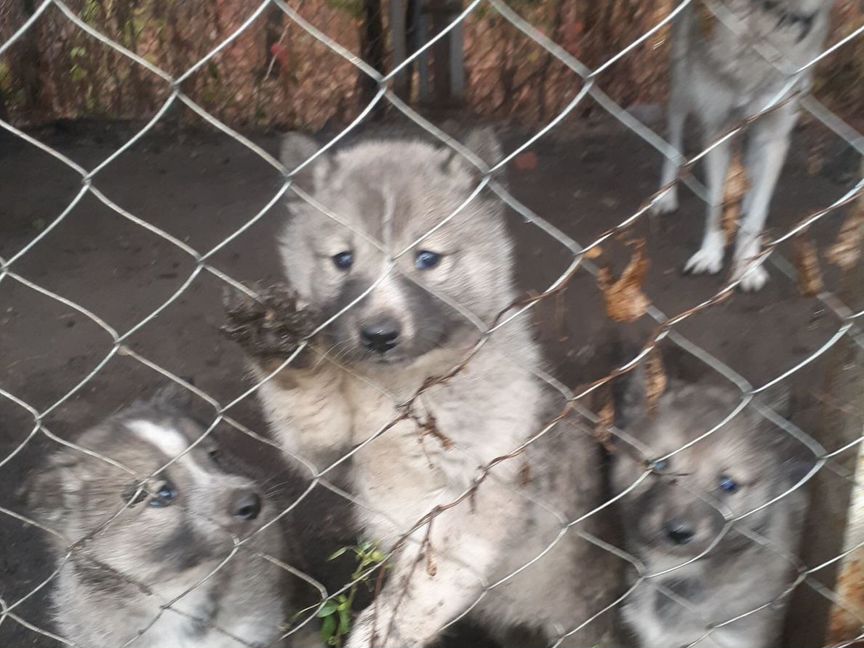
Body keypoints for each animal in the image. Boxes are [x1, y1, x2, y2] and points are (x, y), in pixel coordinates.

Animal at [226, 129, 616, 644]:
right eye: (342, 260)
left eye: (428, 259)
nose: (379, 335)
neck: (399, 385)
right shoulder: (332, 450)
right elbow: (308, 403)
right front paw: (280, 341)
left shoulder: (478, 488)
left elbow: (427, 582)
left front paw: (387, 630)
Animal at [660, 0, 832, 290]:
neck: (762, 18)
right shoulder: (718, 127)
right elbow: (716, 205)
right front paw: (709, 255)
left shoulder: (773, 135)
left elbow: (756, 213)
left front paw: (748, 267)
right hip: (682, 82)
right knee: (674, 132)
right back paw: (664, 195)